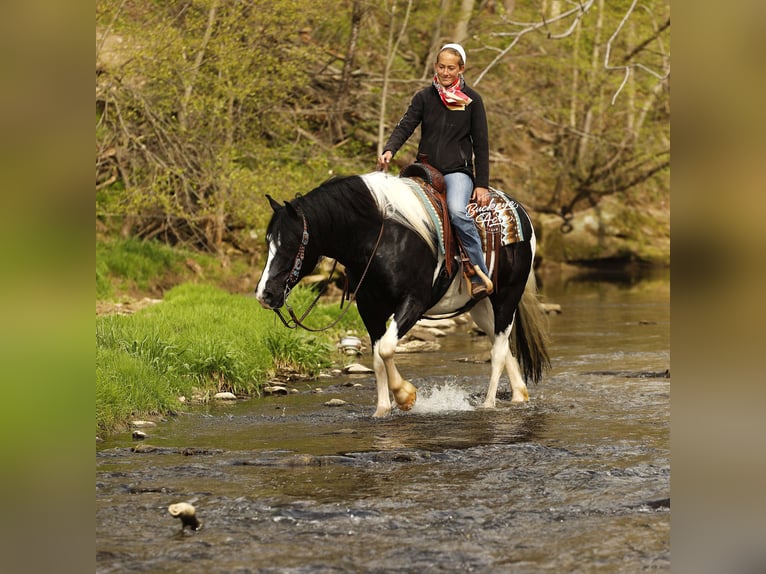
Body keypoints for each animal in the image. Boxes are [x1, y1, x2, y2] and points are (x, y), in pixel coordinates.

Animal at [255, 170, 550, 417]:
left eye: (290, 243)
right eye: (269, 242)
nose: (264, 295)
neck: (379, 239)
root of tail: (520, 212)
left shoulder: (413, 303)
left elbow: (386, 348)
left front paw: (406, 396)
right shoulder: (370, 309)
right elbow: (377, 357)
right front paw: (383, 410)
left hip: (507, 298)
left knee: (498, 350)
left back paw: (488, 405)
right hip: (479, 306)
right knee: (503, 347)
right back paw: (519, 396)